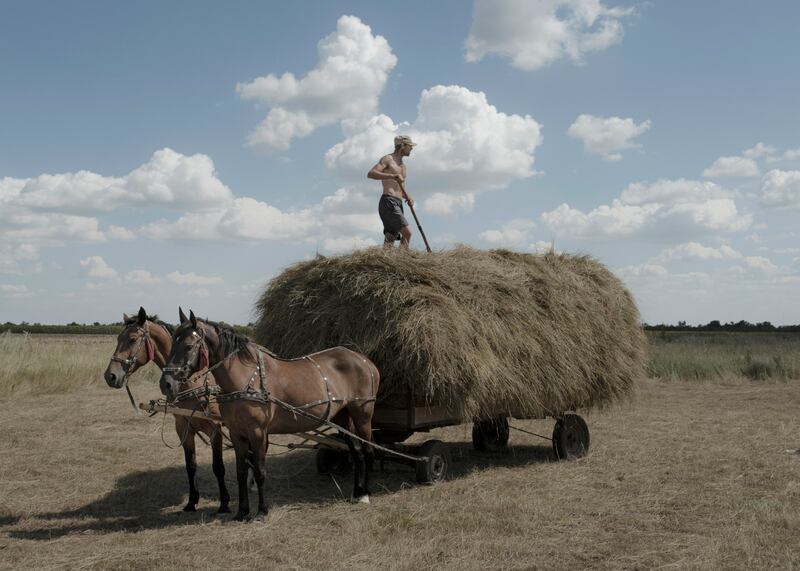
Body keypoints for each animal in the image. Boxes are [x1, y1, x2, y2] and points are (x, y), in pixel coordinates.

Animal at [104, 308, 231, 512]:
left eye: (132, 339)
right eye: (118, 338)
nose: (110, 376)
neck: (193, 382)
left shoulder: (215, 430)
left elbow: (218, 467)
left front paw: (225, 502)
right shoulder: (184, 429)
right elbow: (191, 466)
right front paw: (192, 501)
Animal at [159, 312, 382, 524]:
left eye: (188, 346)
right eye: (172, 343)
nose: (166, 383)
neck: (246, 379)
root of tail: (364, 360)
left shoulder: (257, 433)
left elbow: (259, 472)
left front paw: (261, 512)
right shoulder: (237, 433)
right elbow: (241, 473)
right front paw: (242, 511)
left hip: (362, 416)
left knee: (368, 451)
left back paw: (366, 493)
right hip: (342, 417)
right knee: (357, 452)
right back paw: (356, 492)